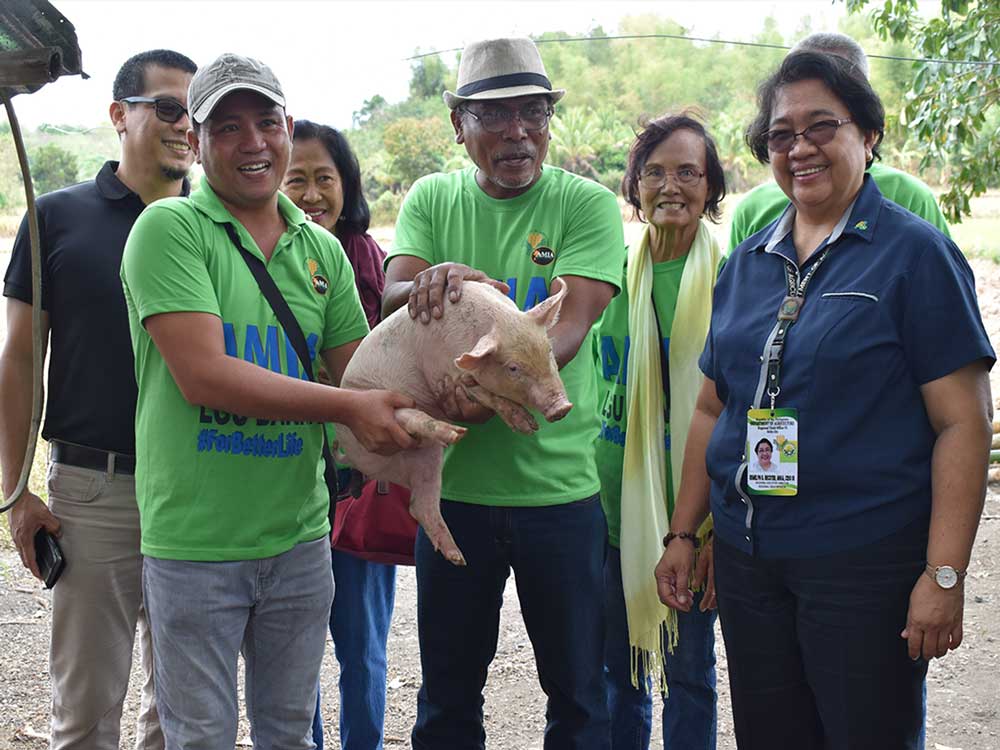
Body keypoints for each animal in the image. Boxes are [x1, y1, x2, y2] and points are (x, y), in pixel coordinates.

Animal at [334, 280, 572, 568]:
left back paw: (458, 557)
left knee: (420, 505)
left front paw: (529, 426)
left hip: (426, 458)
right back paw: (455, 433)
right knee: (413, 419)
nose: (562, 407)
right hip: (379, 408)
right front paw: (526, 425)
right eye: (513, 368)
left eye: (548, 350)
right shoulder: (446, 373)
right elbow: (486, 393)